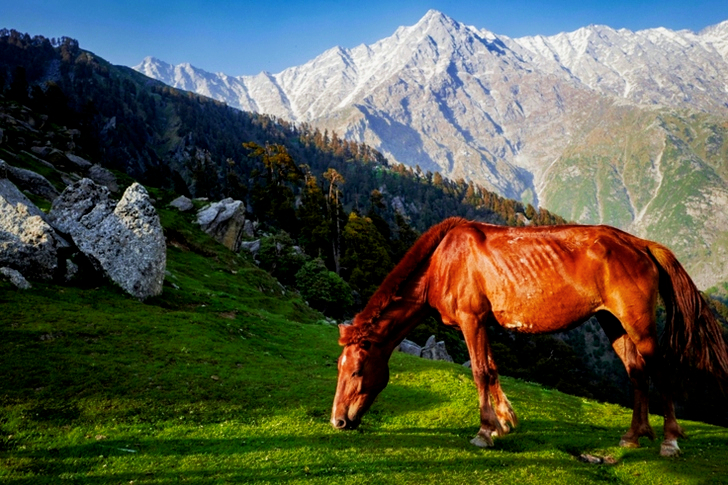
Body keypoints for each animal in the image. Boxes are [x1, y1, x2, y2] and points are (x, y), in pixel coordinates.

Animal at [331, 217, 728, 456]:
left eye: (355, 371)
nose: (338, 422)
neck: (443, 262)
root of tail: (641, 244)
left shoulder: (472, 320)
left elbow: (480, 372)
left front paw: (485, 431)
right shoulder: (481, 323)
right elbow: (491, 370)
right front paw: (504, 423)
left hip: (638, 322)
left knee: (659, 370)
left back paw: (670, 440)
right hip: (613, 322)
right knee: (636, 373)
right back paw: (633, 436)